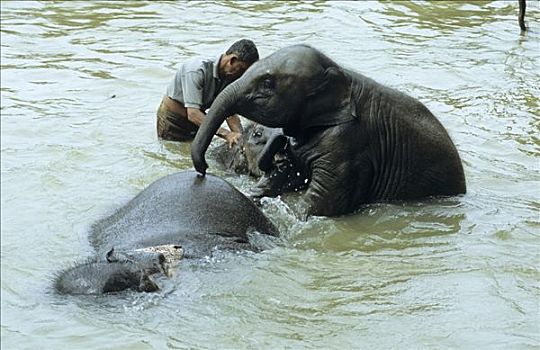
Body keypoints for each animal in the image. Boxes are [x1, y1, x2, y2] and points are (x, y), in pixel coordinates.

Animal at [190, 44, 464, 216]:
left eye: (267, 83)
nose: (203, 170)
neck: (342, 74)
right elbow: (287, 174)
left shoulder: (350, 144)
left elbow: (323, 202)